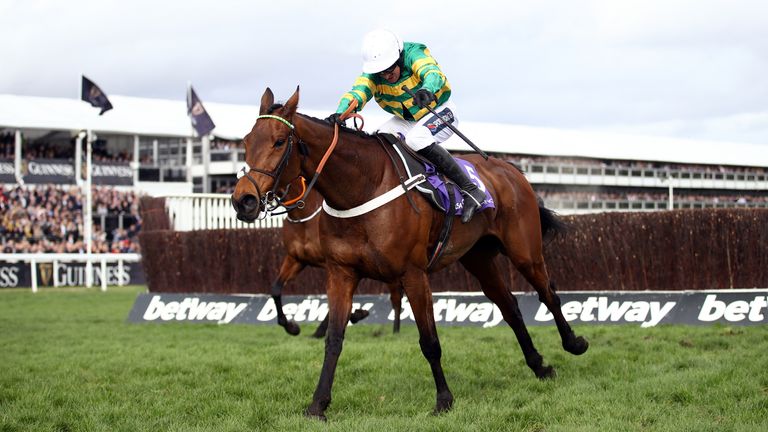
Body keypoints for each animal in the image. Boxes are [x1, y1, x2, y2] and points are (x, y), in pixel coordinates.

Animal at [270, 186, 404, 338]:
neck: (303, 219)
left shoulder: (333, 263)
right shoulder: (296, 259)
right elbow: (276, 288)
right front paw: (291, 327)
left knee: (396, 296)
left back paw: (396, 331)